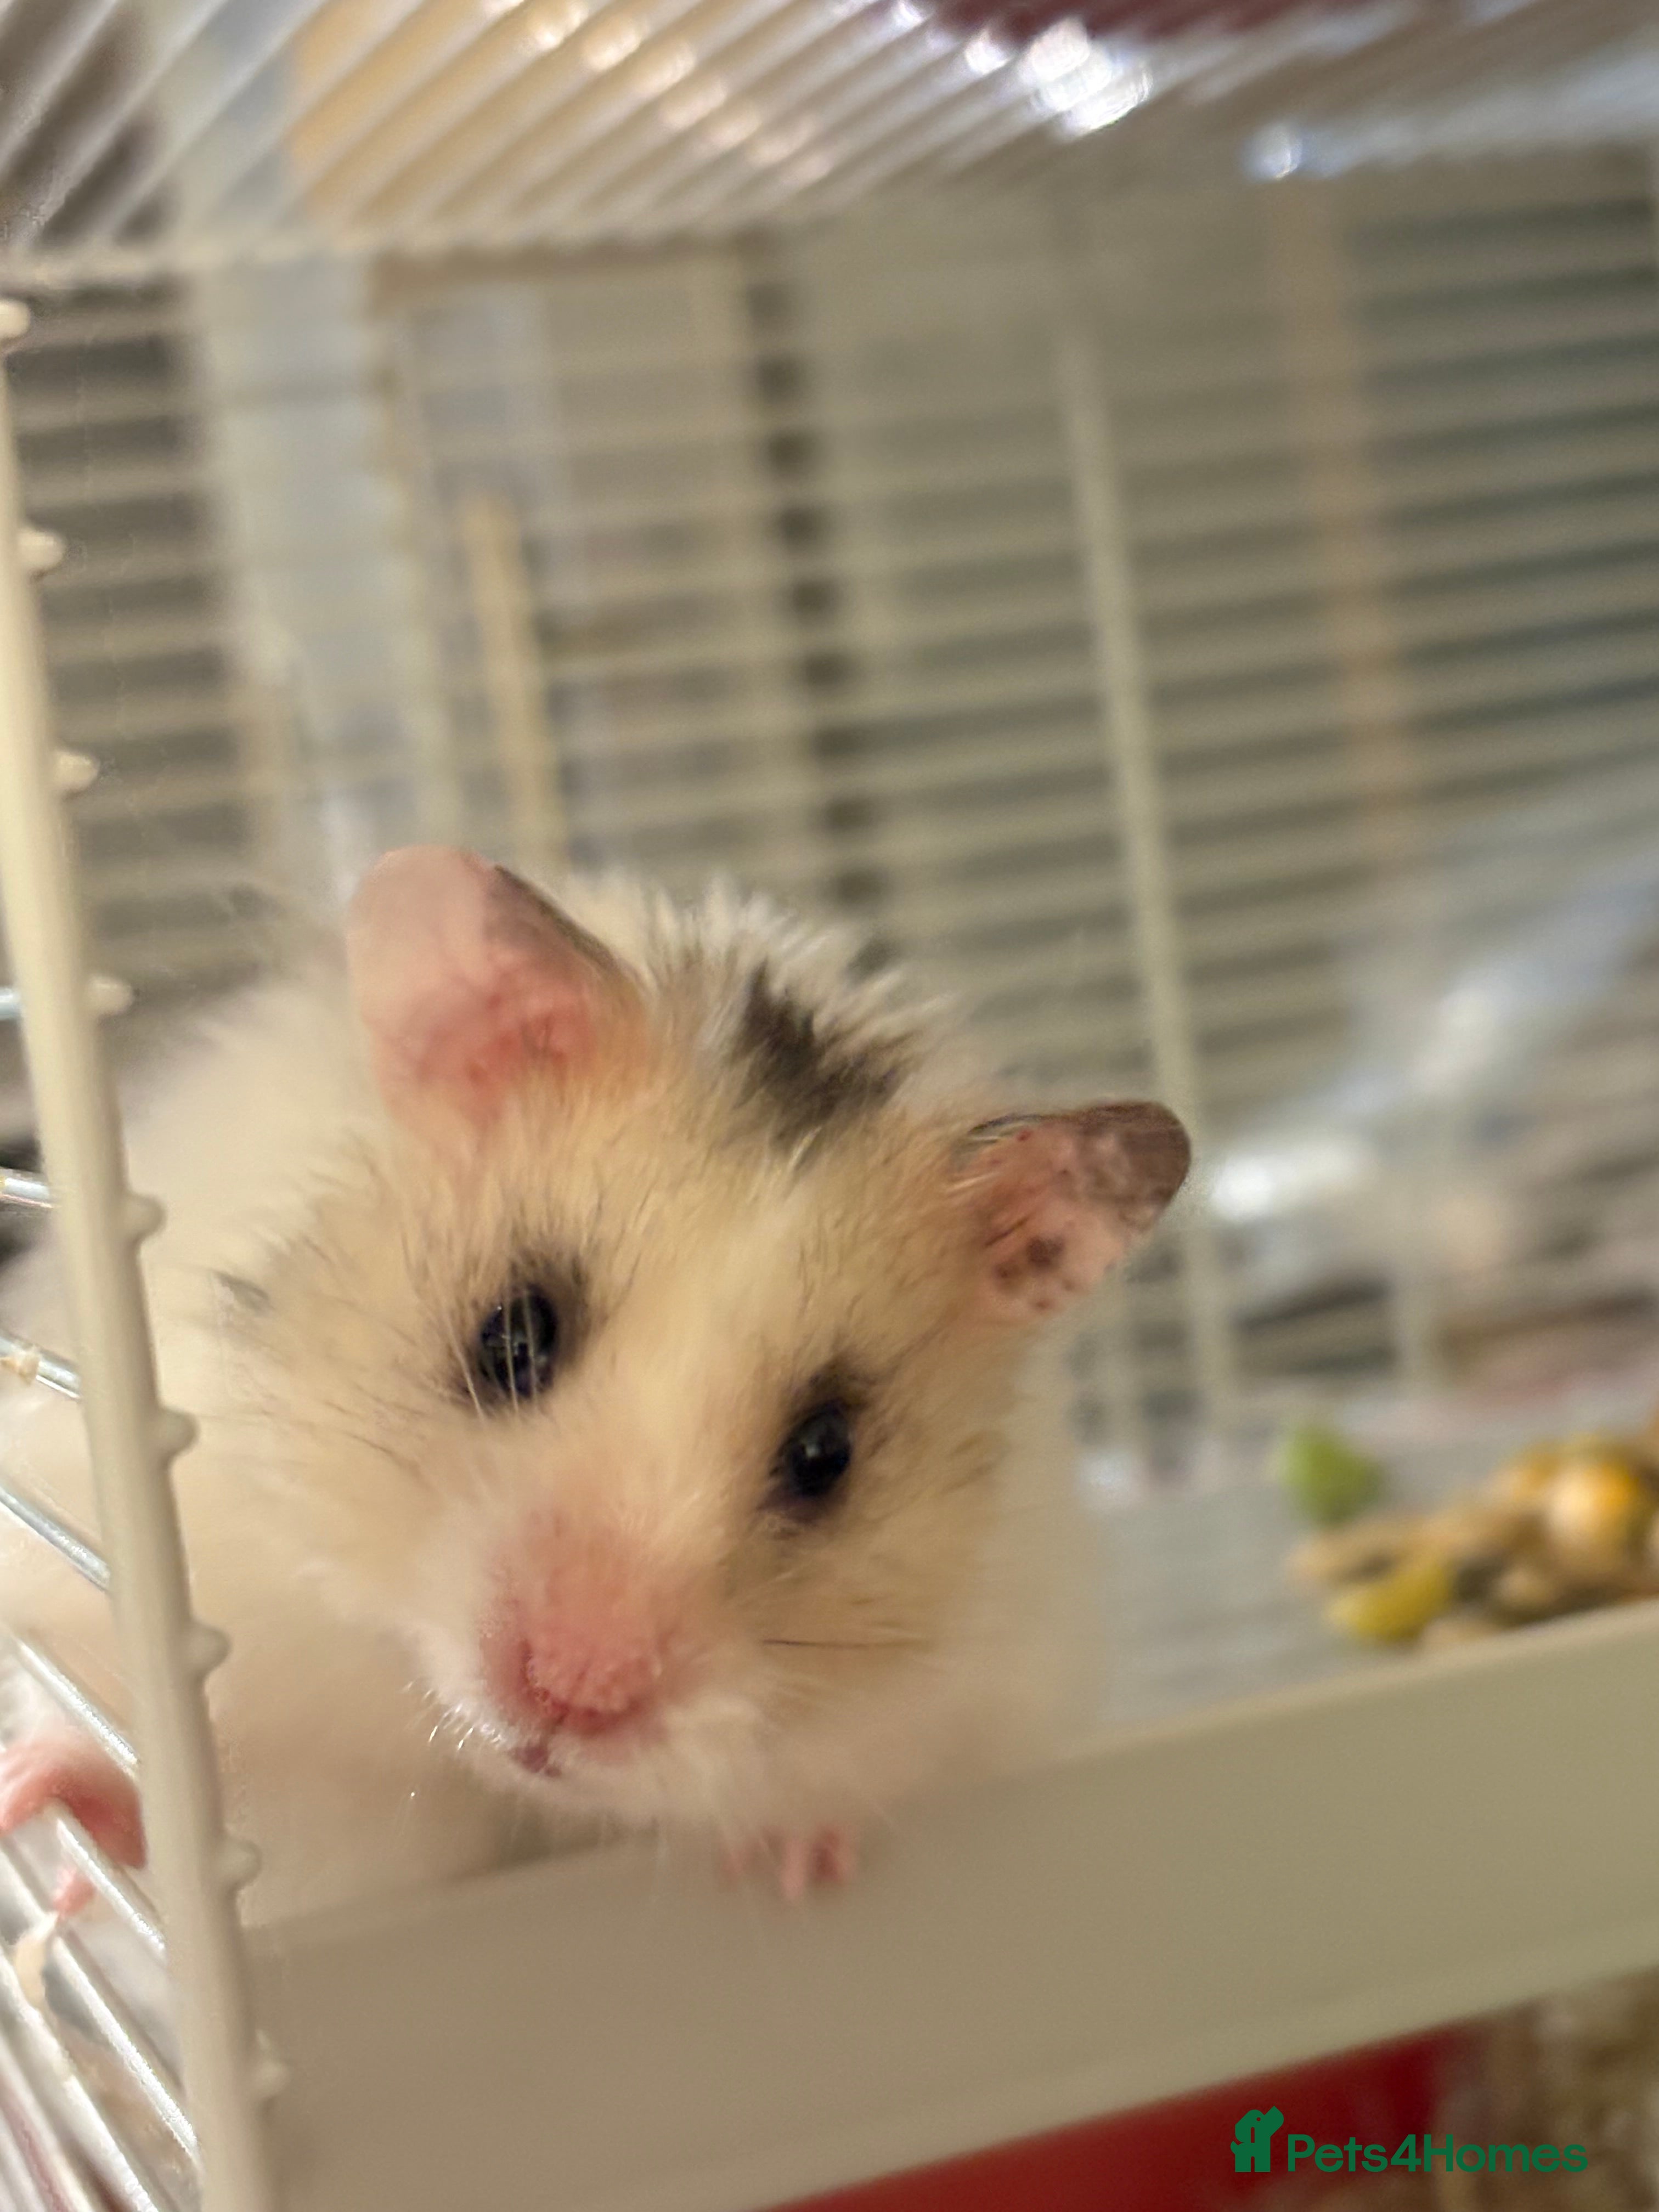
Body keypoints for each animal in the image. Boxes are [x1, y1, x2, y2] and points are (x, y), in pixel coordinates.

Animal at [0, 847, 1188, 1922]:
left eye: (826, 1454)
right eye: (511, 1338)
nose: (571, 1698)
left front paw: (798, 1862)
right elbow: (158, 1766)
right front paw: (39, 1798)